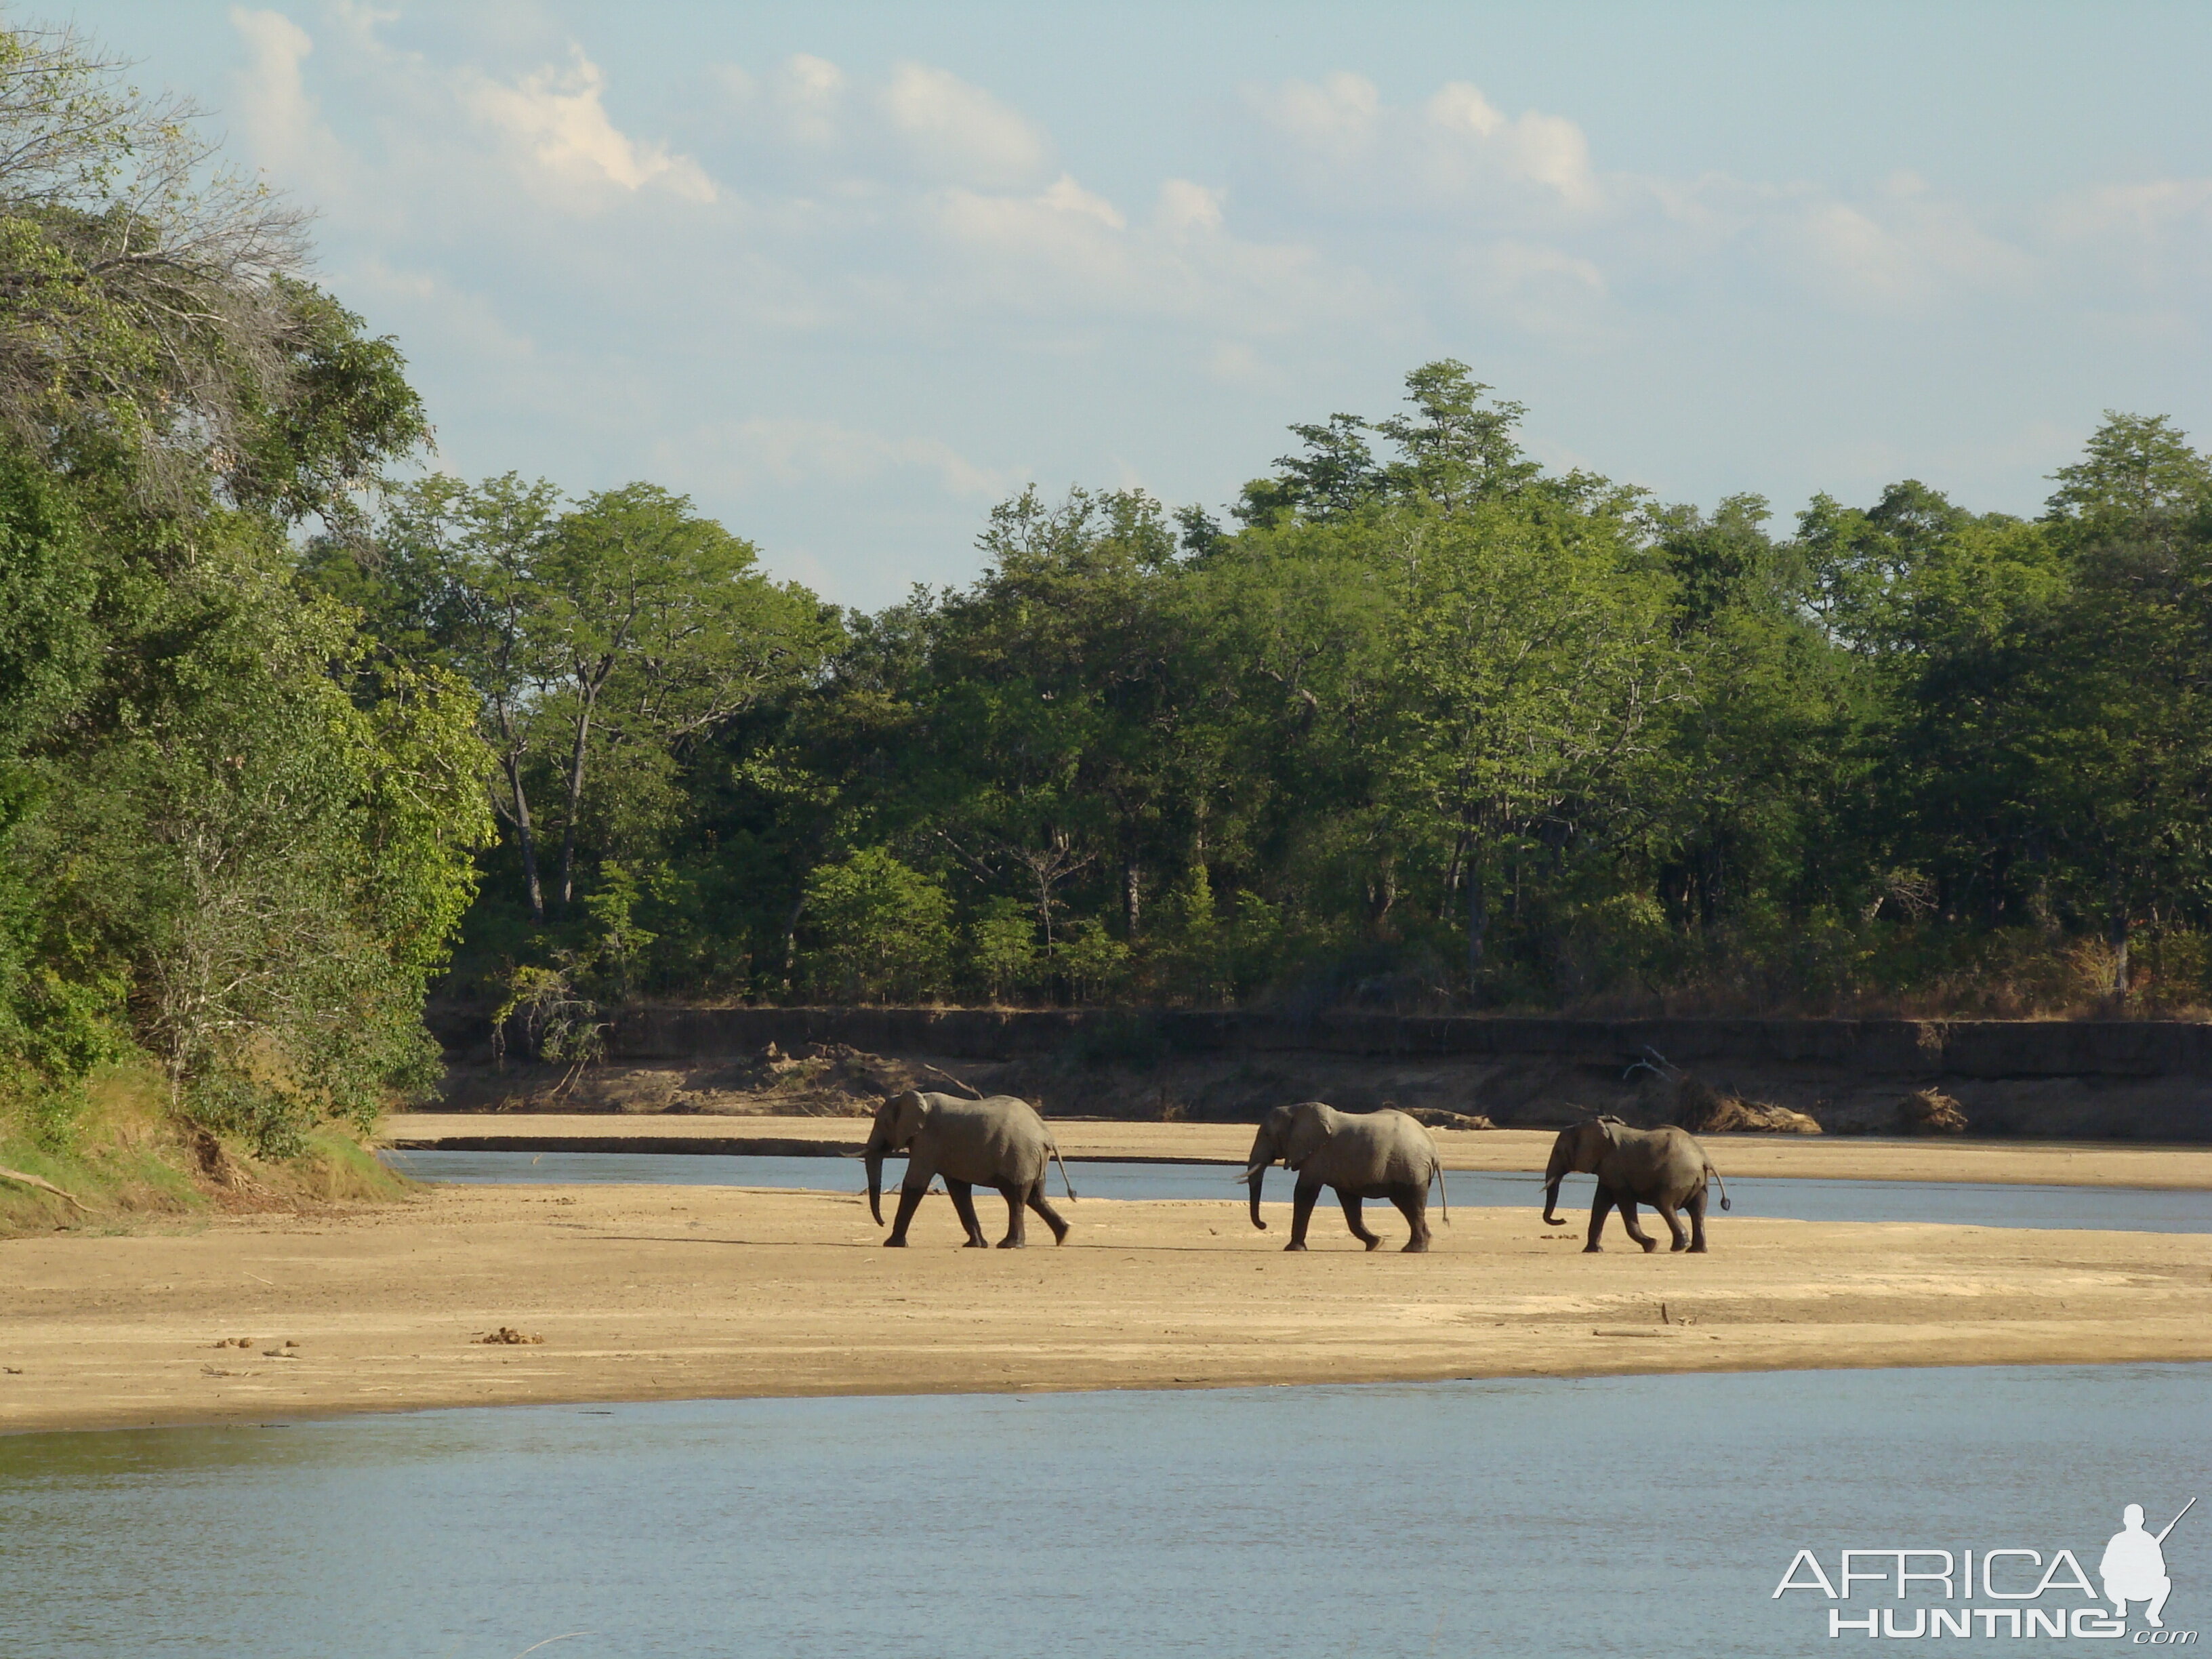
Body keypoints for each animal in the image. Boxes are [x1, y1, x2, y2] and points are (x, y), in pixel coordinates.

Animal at [858, 1092, 1075, 1247]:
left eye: (883, 1123)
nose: (882, 1223)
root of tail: (1047, 1135)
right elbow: (959, 1190)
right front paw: (975, 1245)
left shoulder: (927, 1141)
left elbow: (915, 1183)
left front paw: (892, 1244)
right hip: (1032, 1158)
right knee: (1035, 1197)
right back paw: (1064, 1236)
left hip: (1019, 1155)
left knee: (1015, 1197)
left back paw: (1010, 1245)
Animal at [1247, 1110, 1451, 1256]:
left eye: (1267, 1135)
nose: (1264, 1224)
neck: (1295, 1111)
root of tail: (1434, 1149)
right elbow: (1349, 1201)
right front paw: (1377, 1244)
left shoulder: (1318, 1155)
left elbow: (1304, 1193)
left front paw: (1292, 1249)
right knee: (1408, 1206)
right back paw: (1422, 1243)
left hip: (1410, 1166)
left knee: (1411, 1204)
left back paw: (1413, 1250)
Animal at [1539, 1124, 1725, 1256]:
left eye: (1558, 1152)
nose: (1563, 1220)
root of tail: (1704, 1159)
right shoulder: (1607, 1169)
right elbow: (1600, 1203)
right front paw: (1593, 1250)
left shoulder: (1615, 1168)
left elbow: (1624, 1202)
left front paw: (1652, 1245)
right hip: (1702, 1183)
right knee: (1698, 1211)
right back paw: (1696, 1250)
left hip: (1676, 1177)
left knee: (1665, 1205)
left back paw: (1678, 1248)